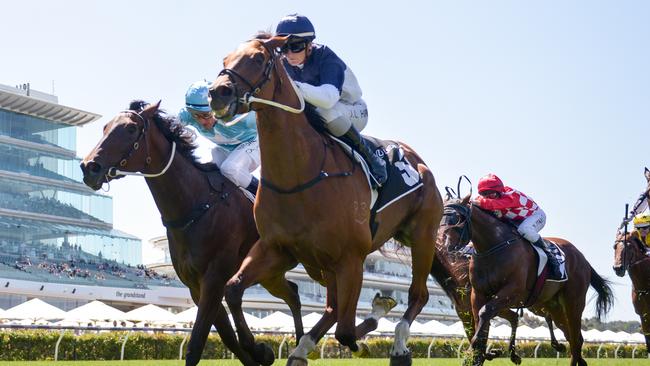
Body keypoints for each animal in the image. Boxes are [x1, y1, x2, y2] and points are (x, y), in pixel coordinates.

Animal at [80, 101, 304, 366]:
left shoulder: (214, 278)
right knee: (293, 293)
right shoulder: (195, 285)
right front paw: (260, 352)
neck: (196, 204)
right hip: (270, 272)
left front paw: (260, 350)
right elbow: (227, 337)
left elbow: (196, 342)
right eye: (105, 127)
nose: (89, 167)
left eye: (131, 129)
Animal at [210, 33, 442, 364]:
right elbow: (232, 288)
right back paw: (301, 349)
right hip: (318, 263)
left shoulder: (352, 258)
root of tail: (417, 159)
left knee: (417, 294)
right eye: (225, 59)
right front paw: (256, 347)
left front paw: (369, 334)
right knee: (332, 308)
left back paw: (398, 345)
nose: (218, 92)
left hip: (422, 236)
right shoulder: (276, 247)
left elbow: (346, 331)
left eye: (257, 58)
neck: (299, 175)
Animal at [438, 196, 612, 366]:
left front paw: (480, 350)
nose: (444, 245)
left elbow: (485, 313)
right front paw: (480, 355)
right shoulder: (478, 294)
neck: (493, 248)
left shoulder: (512, 291)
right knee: (572, 337)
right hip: (554, 305)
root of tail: (583, 259)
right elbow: (481, 320)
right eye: (440, 217)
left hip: (573, 302)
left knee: (576, 339)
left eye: (458, 219)